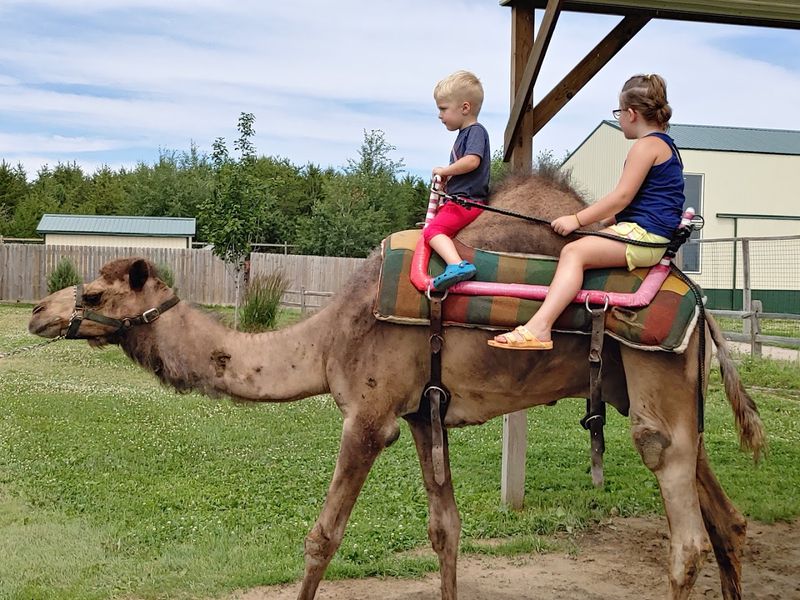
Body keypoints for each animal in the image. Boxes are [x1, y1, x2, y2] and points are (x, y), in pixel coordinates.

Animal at [28, 174, 765, 600]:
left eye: (95, 292)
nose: (38, 312)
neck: (327, 339)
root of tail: (701, 304)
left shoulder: (370, 415)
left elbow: (322, 537)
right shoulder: (419, 415)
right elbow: (446, 531)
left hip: (651, 377)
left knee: (687, 538)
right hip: (647, 391)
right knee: (727, 519)